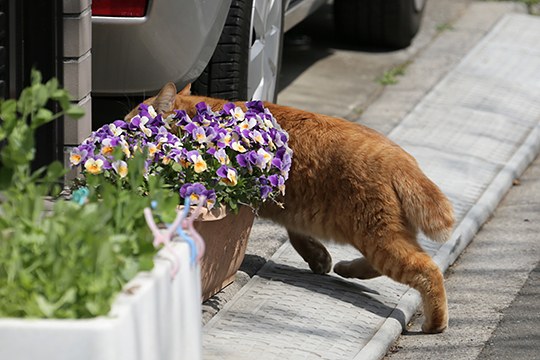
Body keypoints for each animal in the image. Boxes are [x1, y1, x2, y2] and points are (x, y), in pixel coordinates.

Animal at [127, 83, 456, 334]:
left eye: (132, 125)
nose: (116, 127)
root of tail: (400, 158)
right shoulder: (293, 211)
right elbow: (299, 237)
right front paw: (319, 258)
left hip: (377, 236)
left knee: (427, 270)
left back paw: (435, 324)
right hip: (383, 235)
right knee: (397, 263)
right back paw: (347, 269)